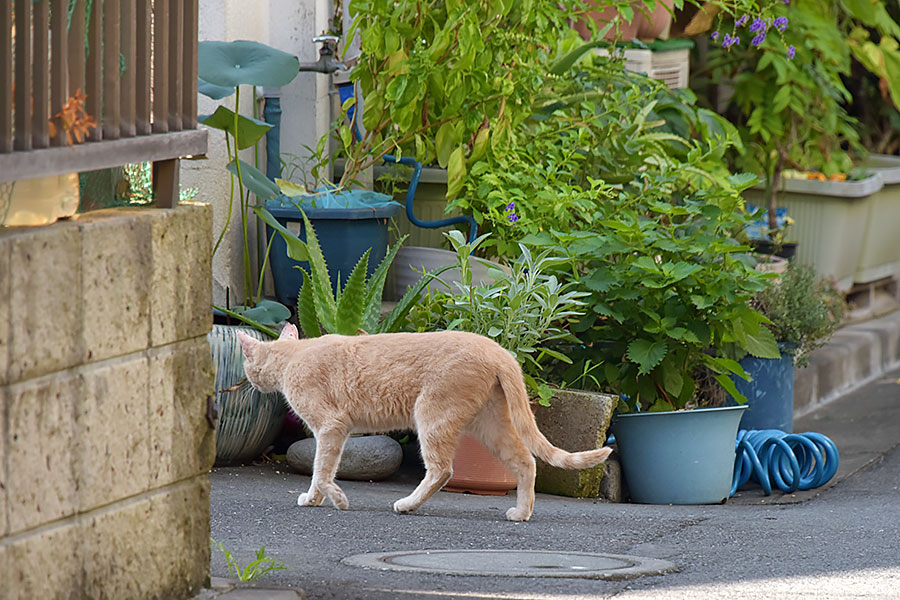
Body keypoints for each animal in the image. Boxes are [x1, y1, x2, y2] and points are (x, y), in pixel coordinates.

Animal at [236, 324, 612, 520]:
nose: (249, 384)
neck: (293, 357)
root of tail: (498, 350)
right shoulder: (335, 431)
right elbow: (322, 470)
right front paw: (319, 499)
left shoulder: (331, 427)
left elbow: (322, 470)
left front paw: (332, 498)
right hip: (490, 426)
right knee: (525, 461)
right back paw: (521, 513)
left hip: (432, 416)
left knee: (442, 470)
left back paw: (407, 504)